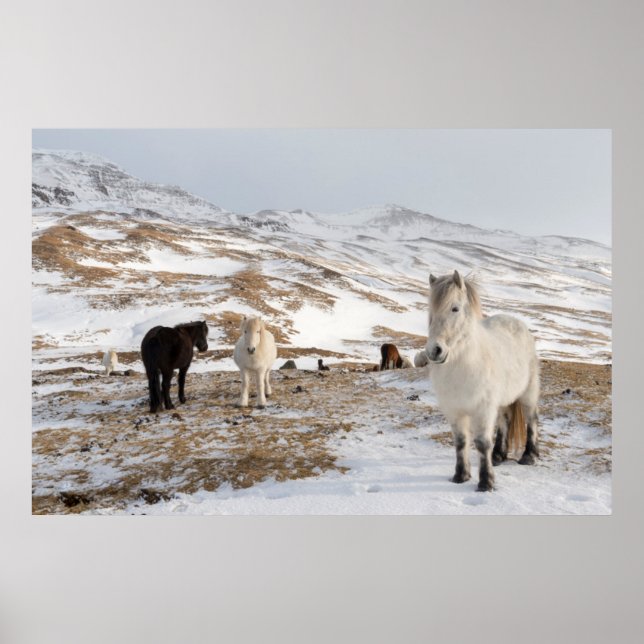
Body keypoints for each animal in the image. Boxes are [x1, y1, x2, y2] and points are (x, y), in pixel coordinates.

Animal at [424, 270, 540, 491]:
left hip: (528, 394)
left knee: (531, 419)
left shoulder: (483, 409)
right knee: (505, 421)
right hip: (502, 400)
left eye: (454, 308)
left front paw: (486, 482)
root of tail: (516, 322)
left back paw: (529, 456)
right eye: (430, 311)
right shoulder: (454, 410)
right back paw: (498, 456)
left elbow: (482, 443)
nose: (434, 351)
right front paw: (460, 476)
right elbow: (461, 442)